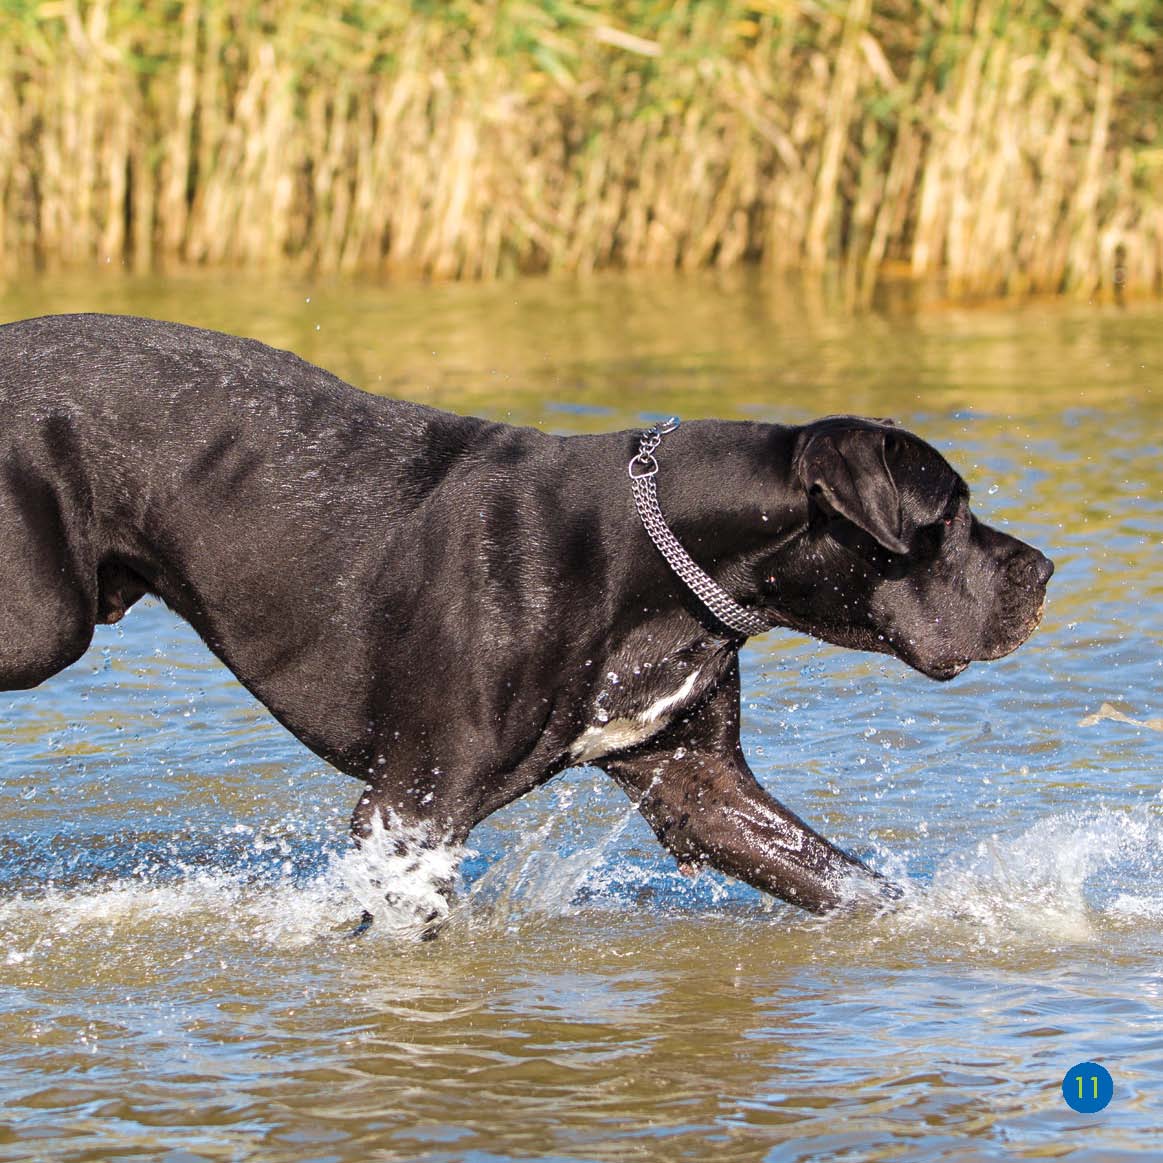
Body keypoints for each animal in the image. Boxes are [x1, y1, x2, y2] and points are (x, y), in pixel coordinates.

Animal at [0, 316, 1056, 925]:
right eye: (948, 515)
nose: (1042, 569)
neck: (661, 549)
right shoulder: (411, 808)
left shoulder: (698, 786)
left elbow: (845, 878)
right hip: (42, 621)